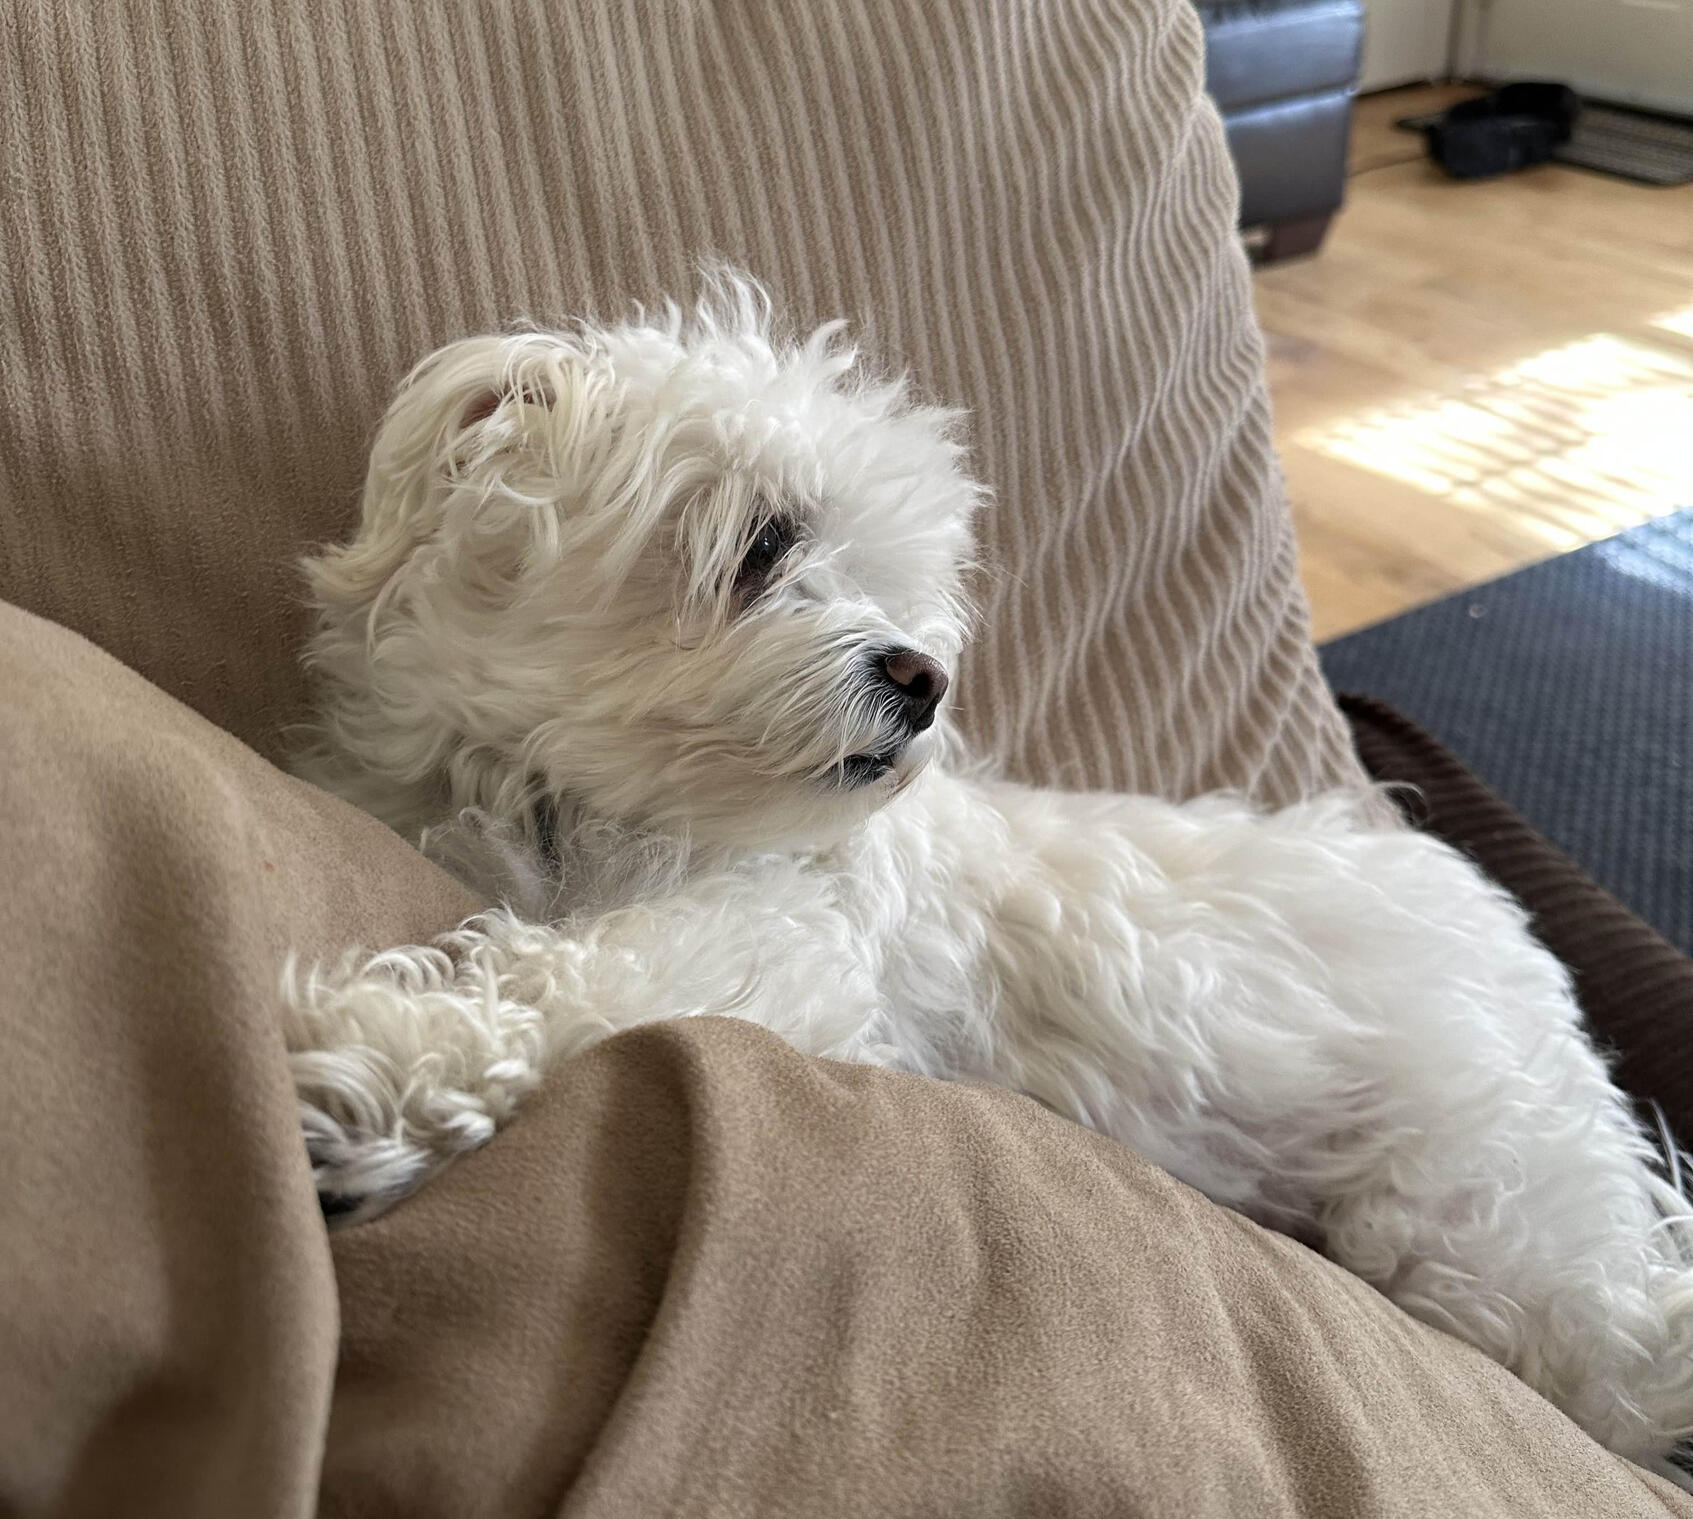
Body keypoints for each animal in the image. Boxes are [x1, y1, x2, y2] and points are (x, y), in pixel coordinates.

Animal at [286, 275, 1693, 1478]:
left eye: (896, 581)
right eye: (764, 542)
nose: (923, 677)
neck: (581, 801)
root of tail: (1503, 930)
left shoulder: (781, 951)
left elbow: (583, 977)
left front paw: (387, 1064)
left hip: (1479, 1215)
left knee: (1622, 1353)